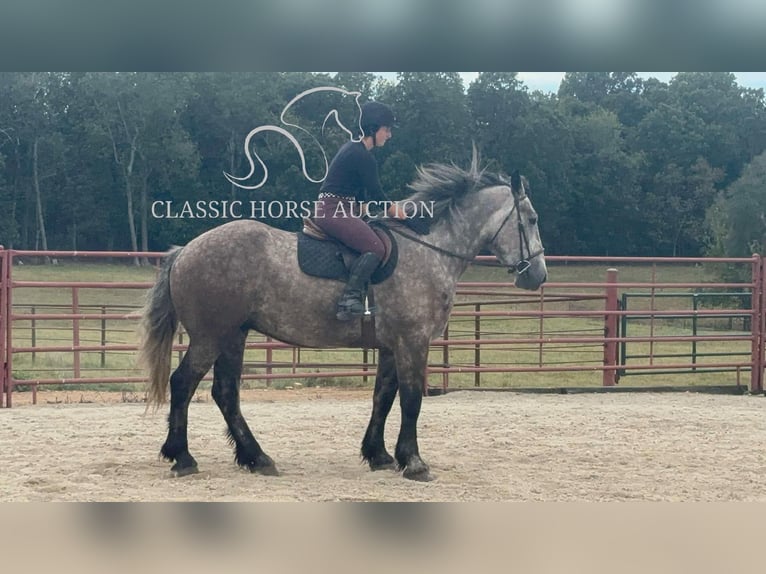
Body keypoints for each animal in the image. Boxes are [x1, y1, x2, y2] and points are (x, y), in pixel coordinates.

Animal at [138, 153, 544, 482]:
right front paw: (414, 462)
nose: (538, 275)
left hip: (234, 336)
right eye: (531, 218)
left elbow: (384, 397)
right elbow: (411, 400)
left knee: (225, 394)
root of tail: (185, 250)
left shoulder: (392, 346)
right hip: (211, 336)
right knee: (183, 384)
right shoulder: (413, 341)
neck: (429, 250)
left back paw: (257, 458)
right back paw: (183, 457)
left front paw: (380, 455)